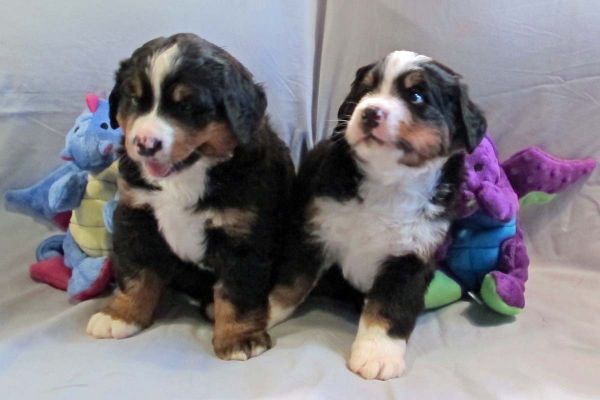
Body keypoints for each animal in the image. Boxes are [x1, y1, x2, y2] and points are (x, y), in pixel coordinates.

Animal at [86, 32, 296, 360]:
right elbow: (136, 271)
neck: (185, 176)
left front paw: (239, 337)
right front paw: (120, 315)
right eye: (134, 99)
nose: (144, 144)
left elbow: (238, 289)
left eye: (186, 106)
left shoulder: (243, 234)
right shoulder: (136, 215)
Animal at [270, 51, 486, 380]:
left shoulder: (412, 258)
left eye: (416, 96)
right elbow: (291, 283)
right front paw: (261, 315)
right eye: (365, 91)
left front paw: (377, 354)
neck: (388, 184)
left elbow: (390, 307)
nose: (371, 112)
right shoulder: (314, 231)